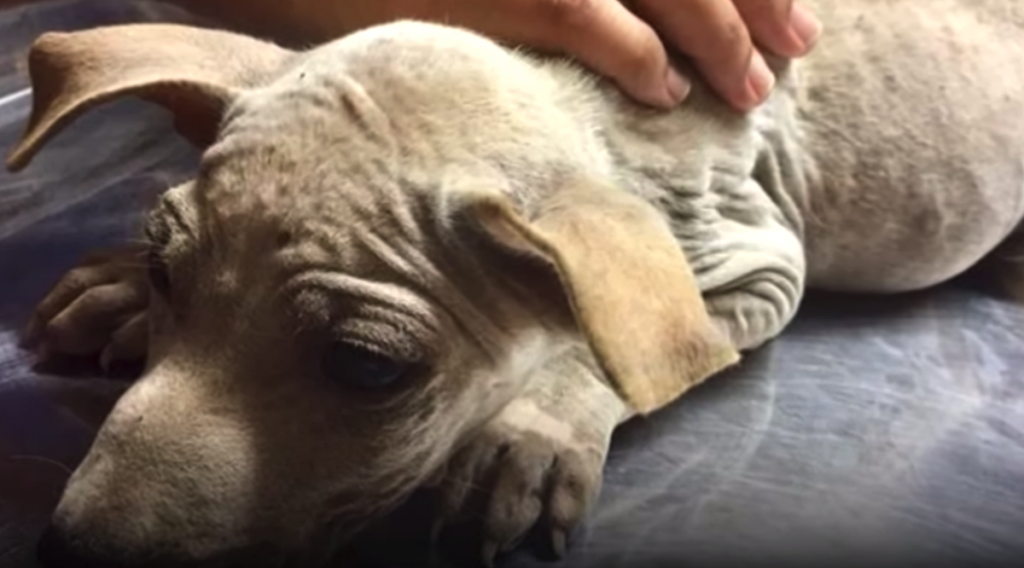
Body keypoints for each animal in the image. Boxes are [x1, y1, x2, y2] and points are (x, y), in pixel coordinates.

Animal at [2, 1, 1024, 568]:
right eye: (167, 271)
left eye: (369, 369)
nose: (74, 553)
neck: (587, 101)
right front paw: (118, 290)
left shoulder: (755, 265)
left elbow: (609, 347)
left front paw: (525, 435)